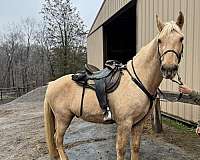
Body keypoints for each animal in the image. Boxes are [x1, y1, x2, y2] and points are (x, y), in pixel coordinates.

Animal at [44, 12, 184, 160]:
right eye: (160, 40)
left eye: (181, 39)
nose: (168, 69)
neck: (138, 80)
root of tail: (51, 84)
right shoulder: (124, 124)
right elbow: (121, 150)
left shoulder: (138, 124)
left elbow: (135, 148)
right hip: (62, 119)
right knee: (58, 140)